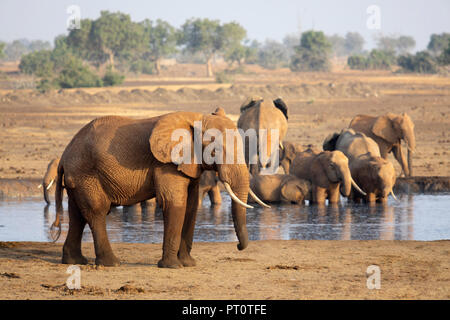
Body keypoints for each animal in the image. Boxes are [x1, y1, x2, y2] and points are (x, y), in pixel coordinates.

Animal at [50, 109, 268, 268]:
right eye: (214, 151)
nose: (238, 246)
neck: (196, 118)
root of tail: (64, 156)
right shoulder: (166, 164)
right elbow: (175, 203)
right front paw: (173, 266)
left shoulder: (189, 163)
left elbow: (191, 206)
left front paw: (189, 264)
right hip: (86, 174)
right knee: (96, 211)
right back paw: (111, 263)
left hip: (79, 177)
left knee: (77, 214)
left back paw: (74, 261)